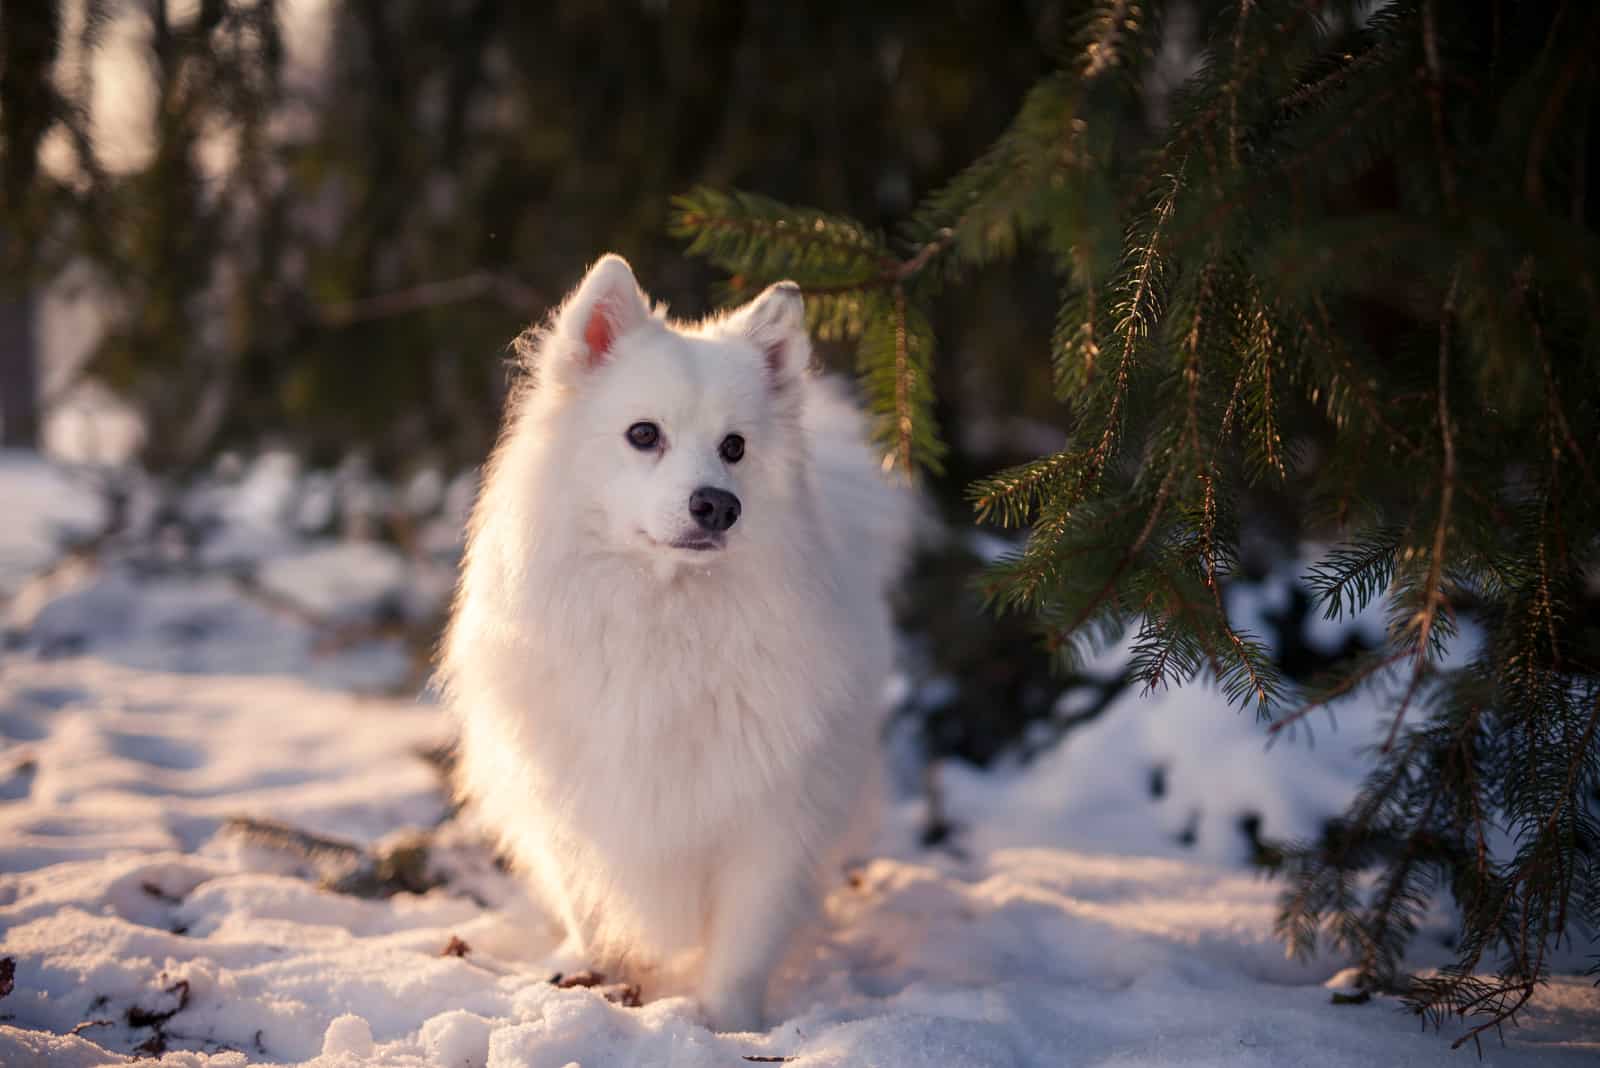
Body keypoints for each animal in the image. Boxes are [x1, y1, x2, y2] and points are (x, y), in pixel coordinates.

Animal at [435, 254, 915, 1029]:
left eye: (734, 447)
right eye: (643, 434)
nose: (717, 504)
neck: (663, 615)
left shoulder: (769, 823)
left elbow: (744, 944)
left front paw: (726, 1025)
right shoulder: (577, 805)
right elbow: (589, 903)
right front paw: (593, 982)